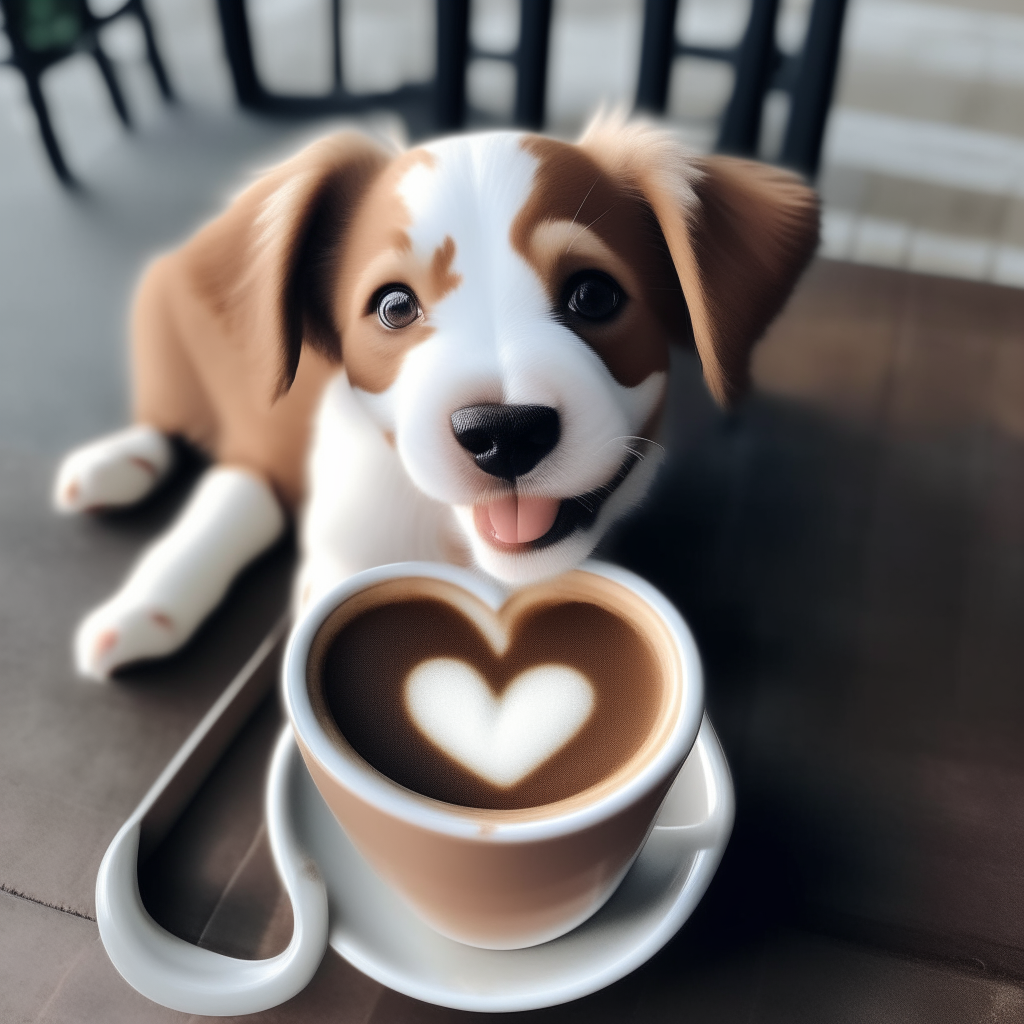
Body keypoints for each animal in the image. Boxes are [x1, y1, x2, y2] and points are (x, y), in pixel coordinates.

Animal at [56, 116, 819, 679]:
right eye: (394, 306)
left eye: (595, 295)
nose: (503, 432)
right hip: (163, 336)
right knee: (200, 448)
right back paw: (124, 496)